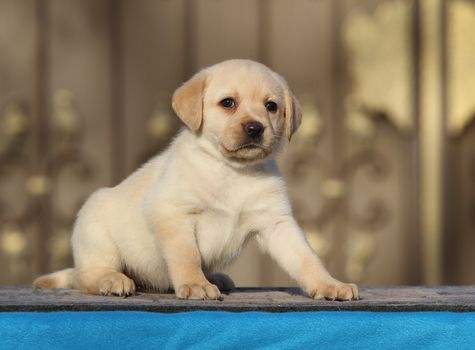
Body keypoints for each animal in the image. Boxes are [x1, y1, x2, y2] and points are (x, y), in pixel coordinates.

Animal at [33, 60, 358, 300]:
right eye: (228, 103)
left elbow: (307, 258)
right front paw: (195, 284)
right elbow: (186, 255)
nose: (255, 128)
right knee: (85, 275)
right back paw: (113, 280)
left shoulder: (277, 222)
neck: (232, 171)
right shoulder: (172, 213)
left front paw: (330, 284)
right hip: (97, 232)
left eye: (271, 106)